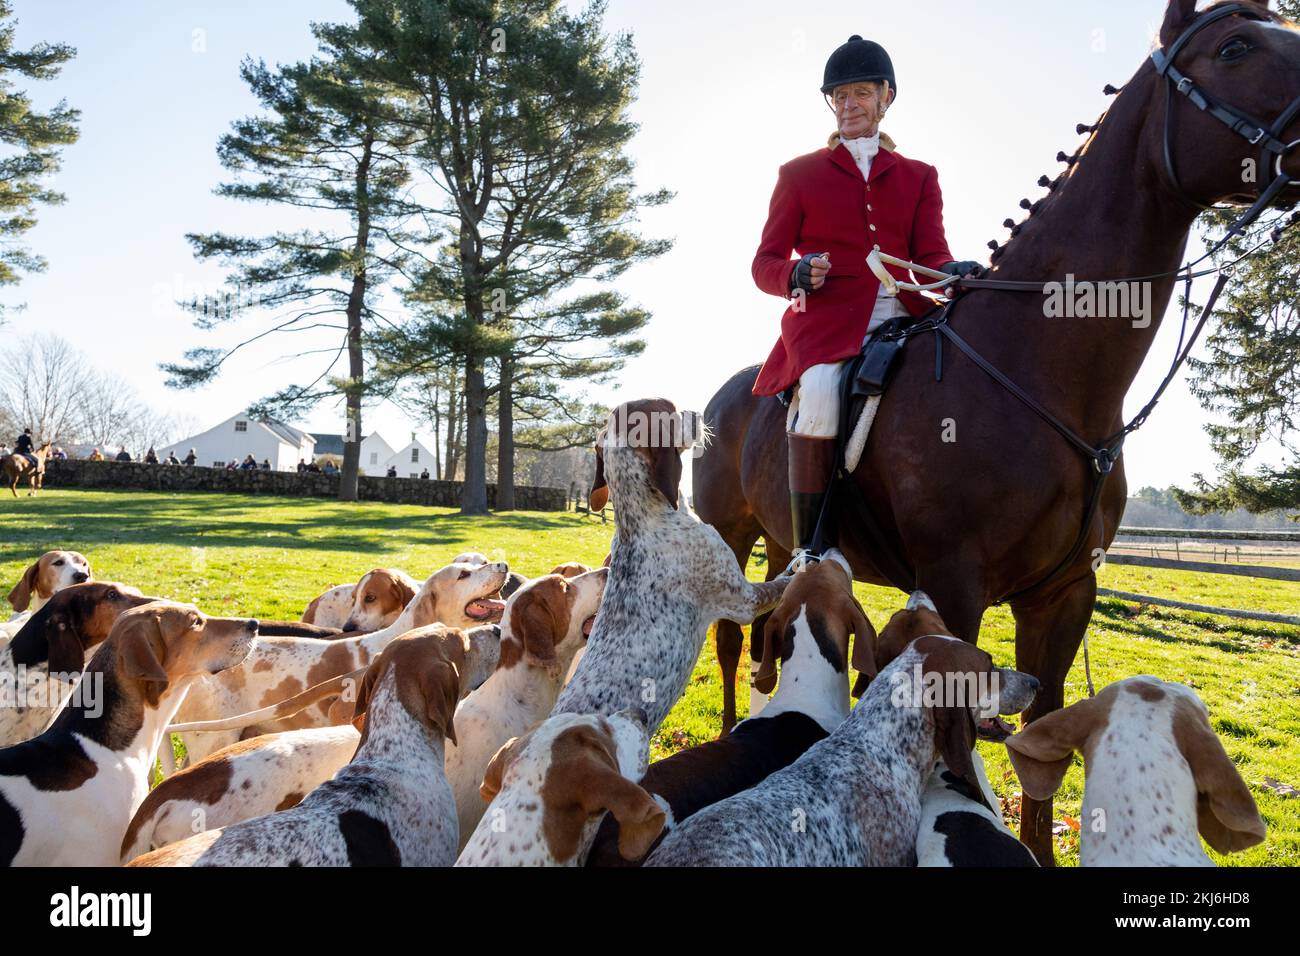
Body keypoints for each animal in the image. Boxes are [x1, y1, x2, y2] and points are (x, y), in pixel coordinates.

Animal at [691, 0, 1300, 868]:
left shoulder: (1065, 593)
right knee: (731, 642)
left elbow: (1040, 735)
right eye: (1237, 47)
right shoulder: (955, 584)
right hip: (731, 533)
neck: (1040, 375)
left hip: (785, 543)